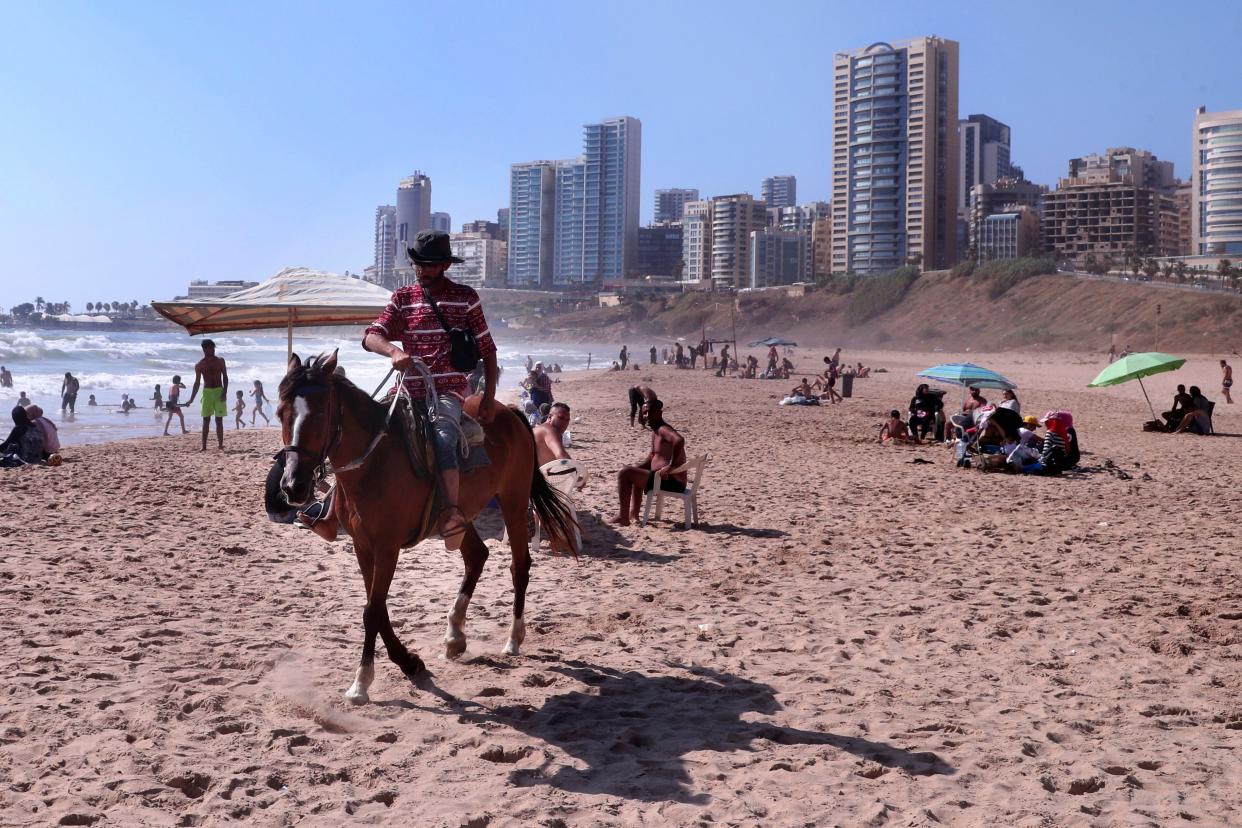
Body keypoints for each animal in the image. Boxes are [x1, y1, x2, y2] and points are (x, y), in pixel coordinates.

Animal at [274, 352, 573, 705]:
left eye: (320, 413)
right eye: (280, 413)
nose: (293, 486)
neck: (374, 464)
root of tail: (509, 412)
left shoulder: (387, 547)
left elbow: (372, 611)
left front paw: (361, 683)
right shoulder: (363, 546)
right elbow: (377, 608)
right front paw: (409, 662)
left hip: (513, 502)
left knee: (520, 566)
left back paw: (513, 638)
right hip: (461, 517)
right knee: (476, 556)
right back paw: (455, 635)